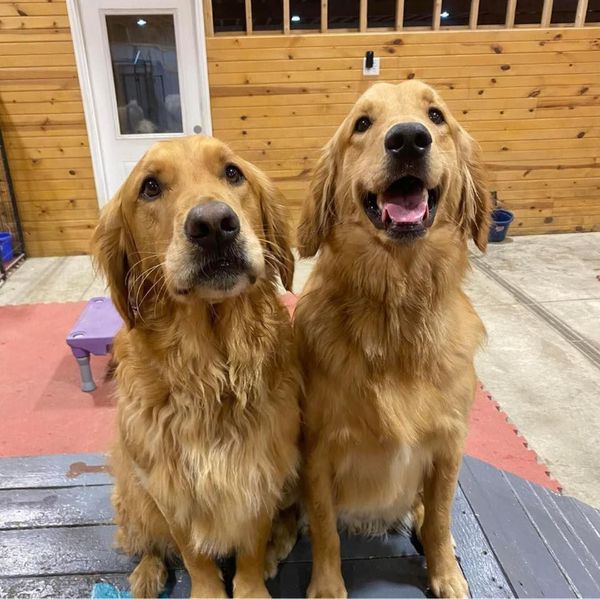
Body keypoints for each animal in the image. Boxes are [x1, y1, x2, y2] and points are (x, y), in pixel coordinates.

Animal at [91, 136, 300, 599]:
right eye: (150, 187)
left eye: (233, 173)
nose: (214, 224)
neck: (213, 368)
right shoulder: (169, 486)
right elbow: (193, 554)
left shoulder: (261, 471)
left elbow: (252, 547)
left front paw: (252, 584)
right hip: (132, 494)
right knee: (147, 541)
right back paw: (147, 572)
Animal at [296, 81, 492, 599]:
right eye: (362, 124)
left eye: (436, 115)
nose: (408, 139)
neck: (397, 307)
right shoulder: (317, 450)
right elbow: (324, 527)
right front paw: (327, 585)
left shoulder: (448, 445)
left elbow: (441, 518)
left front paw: (446, 576)